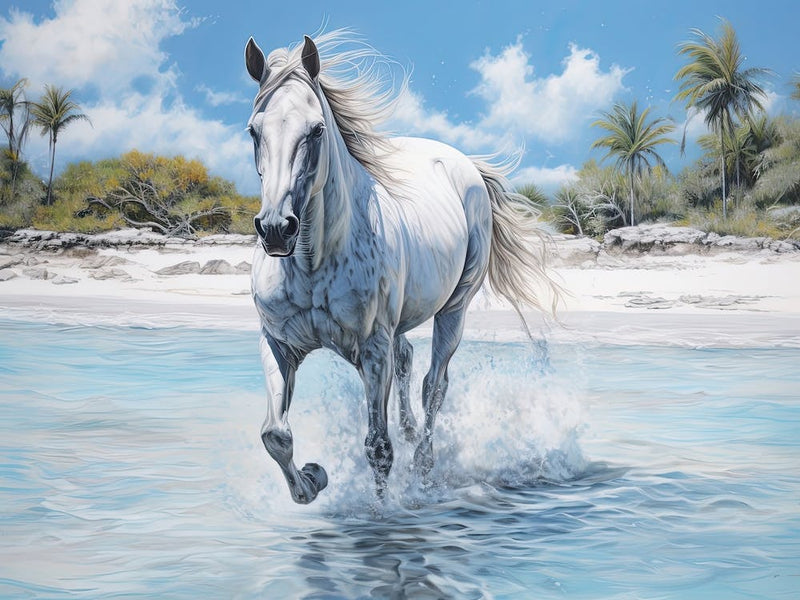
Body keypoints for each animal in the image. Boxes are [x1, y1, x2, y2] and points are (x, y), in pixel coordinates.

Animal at [244, 31, 558, 504]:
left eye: (316, 130)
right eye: (254, 130)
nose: (277, 230)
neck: (313, 263)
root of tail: (466, 165)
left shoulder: (373, 350)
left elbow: (378, 448)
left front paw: (381, 512)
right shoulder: (279, 344)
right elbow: (275, 436)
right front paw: (314, 479)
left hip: (454, 310)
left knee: (434, 386)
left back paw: (424, 465)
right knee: (408, 359)